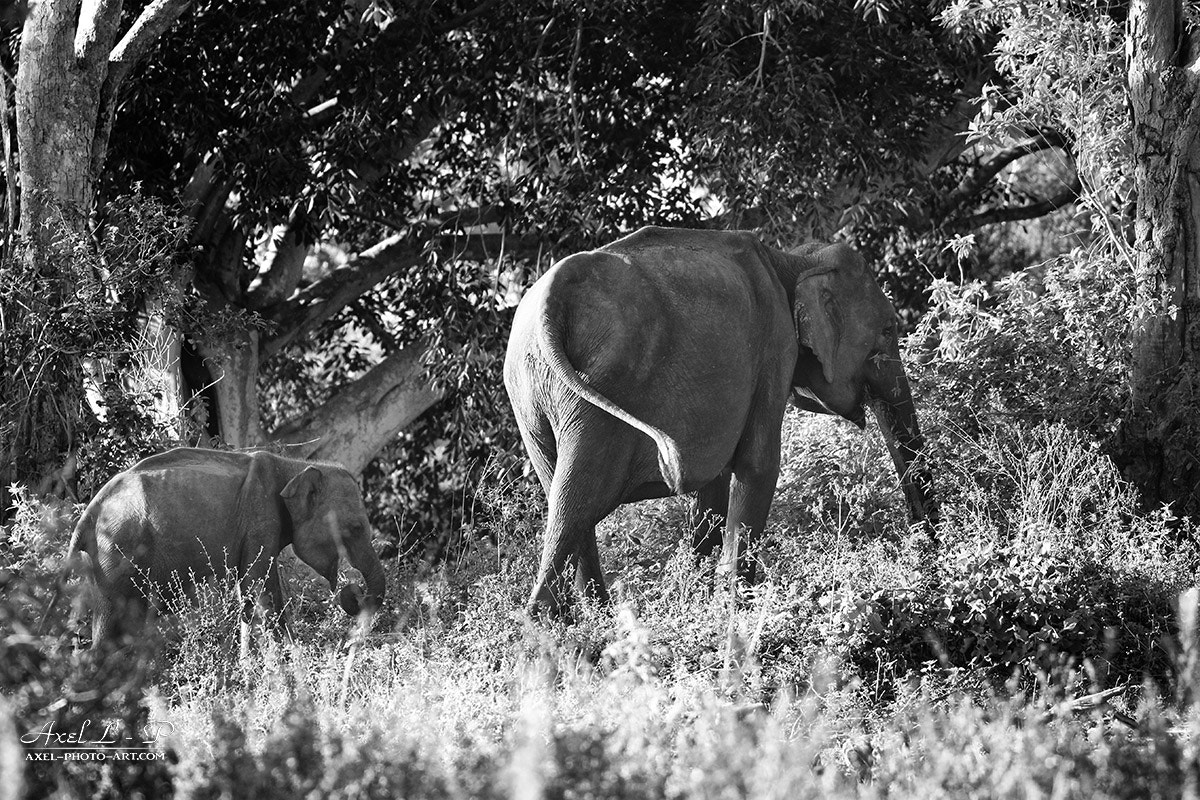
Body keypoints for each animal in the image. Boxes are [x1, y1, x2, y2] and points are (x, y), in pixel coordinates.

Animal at [67, 447, 386, 646]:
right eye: (355, 528)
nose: (354, 589)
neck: (293, 466)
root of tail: (89, 512)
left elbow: (257, 591)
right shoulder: (260, 516)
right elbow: (258, 589)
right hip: (117, 552)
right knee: (114, 625)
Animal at [503, 226, 936, 616]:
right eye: (889, 329)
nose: (923, 548)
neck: (792, 261)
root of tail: (551, 303)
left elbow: (713, 487)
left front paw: (695, 596)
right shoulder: (775, 347)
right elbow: (759, 465)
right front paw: (734, 604)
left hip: (532, 400)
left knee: (563, 498)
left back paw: (596, 621)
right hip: (601, 391)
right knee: (577, 498)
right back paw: (549, 626)